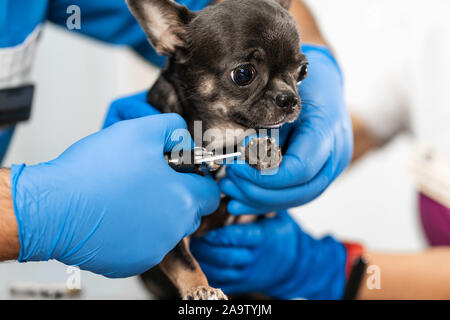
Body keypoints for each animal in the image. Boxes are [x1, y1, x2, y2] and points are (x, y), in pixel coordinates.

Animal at [128, 0, 308, 300]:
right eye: (243, 74)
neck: (220, 136)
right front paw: (201, 288)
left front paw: (262, 150)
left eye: (303, 71)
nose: (289, 98)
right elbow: (183, 260)